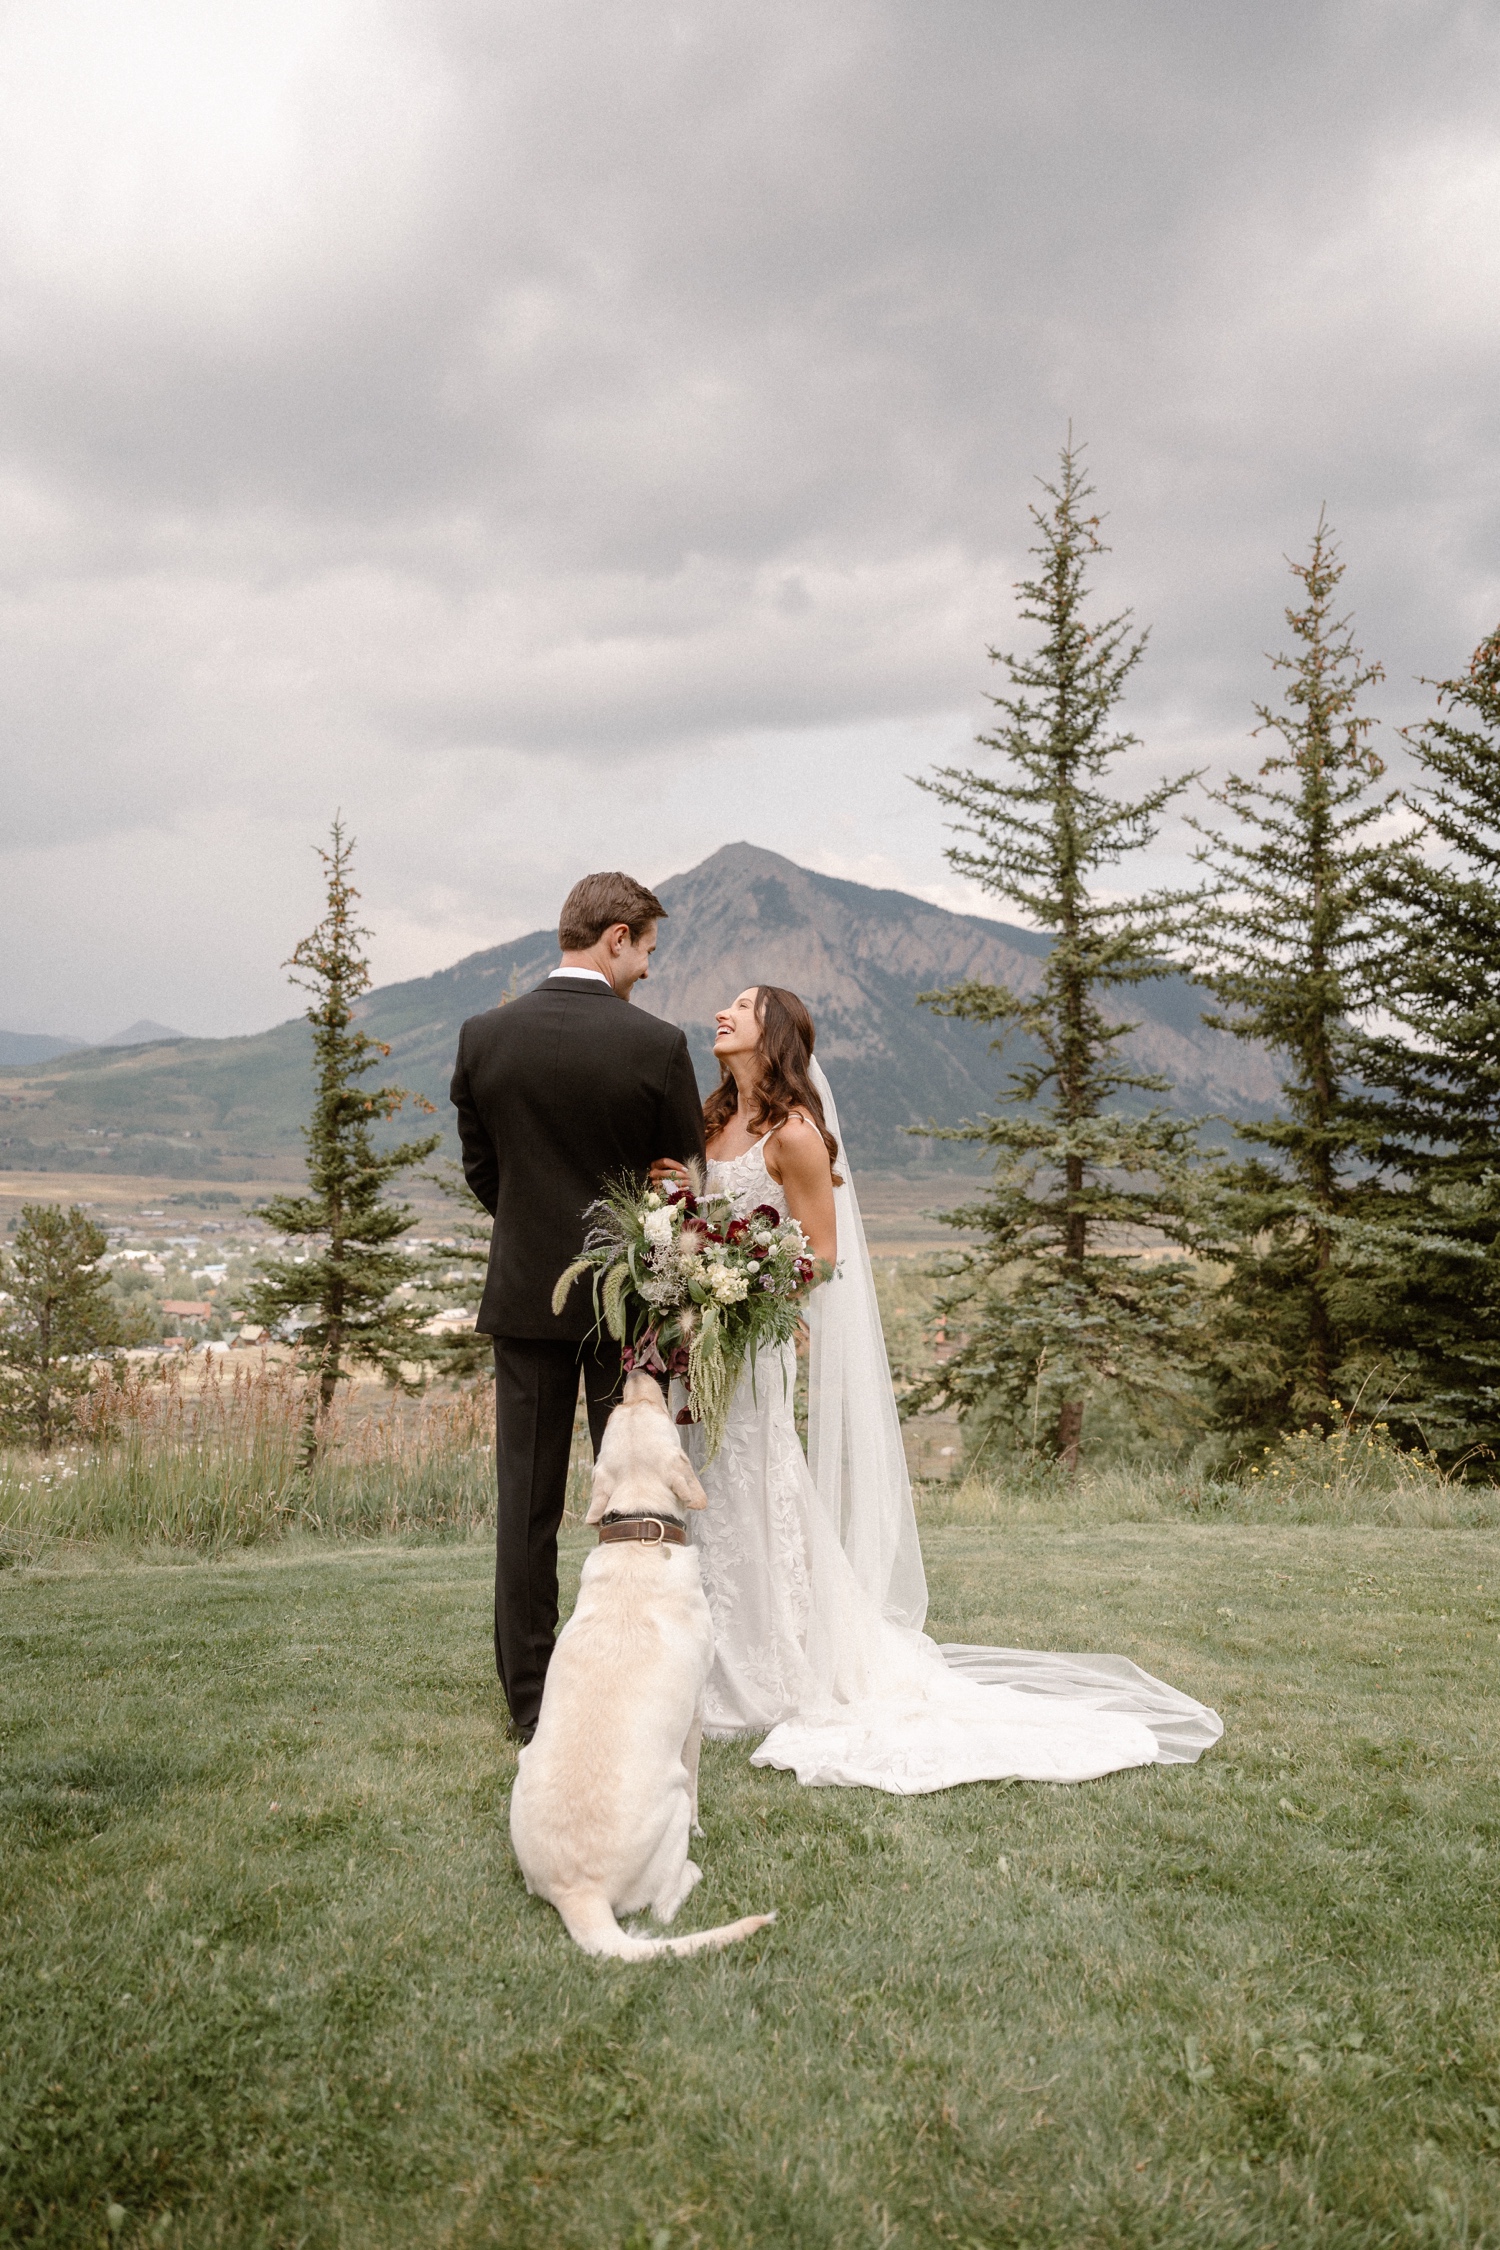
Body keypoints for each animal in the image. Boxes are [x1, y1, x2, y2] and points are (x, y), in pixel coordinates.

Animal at [512, 1359, 782, 1962]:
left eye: (622, 1416)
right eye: (653, 1413)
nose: (635, 1370)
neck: (641, 1531)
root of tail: (578, 1892)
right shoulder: (697, 1714)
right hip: (672, 1804)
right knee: (662, 1905)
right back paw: (693, 1871)